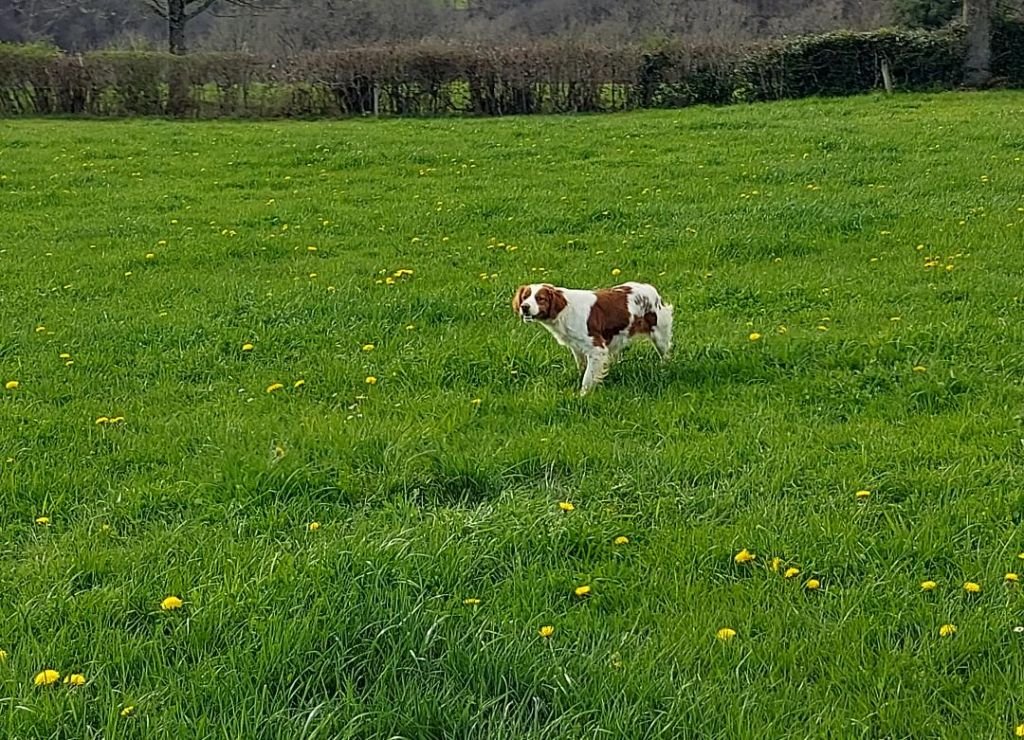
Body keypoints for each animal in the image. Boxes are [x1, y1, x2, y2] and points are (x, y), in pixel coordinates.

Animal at [512, 282, 671, 397]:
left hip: (660, 334)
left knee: (665, 354)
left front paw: (583, 395)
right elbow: (582, 368)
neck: (565, 311)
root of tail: (651, 288)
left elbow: (588, 377)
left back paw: (664, 370)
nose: (524, 307)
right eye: (524, 297)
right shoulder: (576, 347)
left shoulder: (596, 349)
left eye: (540, 298)